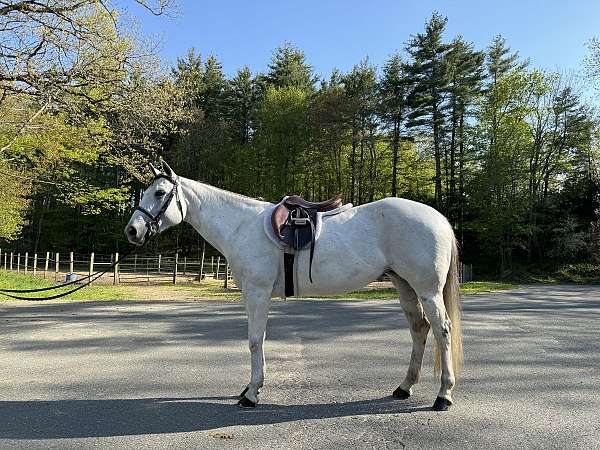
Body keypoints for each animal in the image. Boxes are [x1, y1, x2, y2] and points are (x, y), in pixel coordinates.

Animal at [125, 162, 464, 412]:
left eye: (159, 193)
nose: (132, 231)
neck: (241, 226)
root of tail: (438, 217)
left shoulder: (258, 293)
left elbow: (255, 340)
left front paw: (251, 393)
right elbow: (256, 340)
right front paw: (250, 387)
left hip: (427, 290)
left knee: (442, 330)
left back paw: (443, 396)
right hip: (404, 285)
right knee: (419, 329)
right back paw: (404, 388)